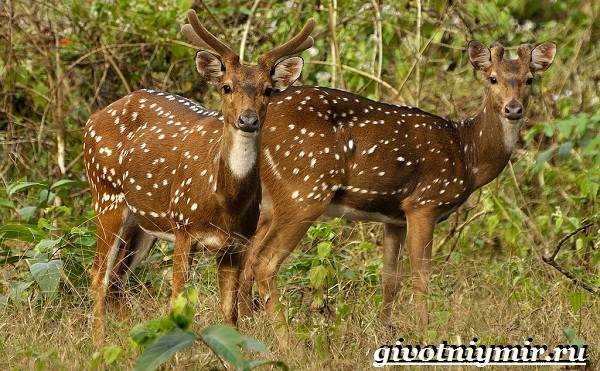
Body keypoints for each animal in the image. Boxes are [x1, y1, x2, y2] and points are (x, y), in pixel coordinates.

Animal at [84, 8, 316, 344]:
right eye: (227, 86)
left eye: (268, 90)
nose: (248, 120)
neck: (225, 202)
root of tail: (91, 120)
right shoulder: (184, 228)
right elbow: (177, 303)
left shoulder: (237, 245)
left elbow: (230, 315)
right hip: (106, 196)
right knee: (98, 277)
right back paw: (99, 346)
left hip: (143, 224)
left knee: (116, 279)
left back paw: (130, 342)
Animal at [237, 40, 556, 332]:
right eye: (492, 78)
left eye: (530, 79)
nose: (513, 108)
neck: (468, 156)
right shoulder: (424, 203)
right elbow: (420, 278)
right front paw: (425, 332)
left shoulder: (394, 217)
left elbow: (390, 279)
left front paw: (385, 329)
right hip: (304, 190)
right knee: (264, 262)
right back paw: (284, 338)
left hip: (271, 202)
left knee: (247, 257)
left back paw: (246, 326)